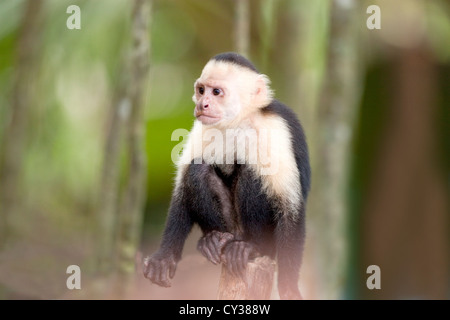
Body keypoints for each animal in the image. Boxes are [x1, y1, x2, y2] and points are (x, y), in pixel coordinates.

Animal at [143, 51, 310, 298]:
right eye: (201, 90)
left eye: (216, 92)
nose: (202, 104)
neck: (237, 122)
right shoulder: (201, 127)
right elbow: (182, 187)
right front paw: (164, 257)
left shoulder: (273, 128)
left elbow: (289, 206)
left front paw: (289, 287)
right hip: (230, 226)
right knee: (198, 168)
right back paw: (213, 240)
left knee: (254, 172)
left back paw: (252, 247)